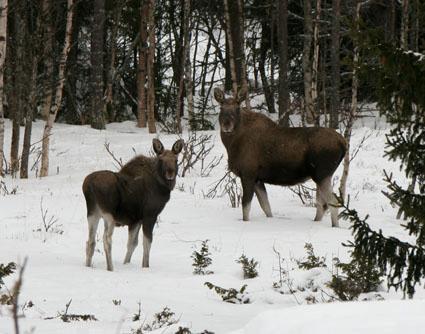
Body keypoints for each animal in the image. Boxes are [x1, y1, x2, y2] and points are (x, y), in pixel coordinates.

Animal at [82, 138, 183, 272]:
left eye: (176, 160)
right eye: (161, 160)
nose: (170, 173)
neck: (162, 186)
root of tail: (88, 186)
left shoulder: (136, 220)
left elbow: (132, 244)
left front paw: (126, 264)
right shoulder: (150, 215)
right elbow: (147, 242)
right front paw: (145, 266)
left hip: (93, 213)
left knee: (90, 241)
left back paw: (88, 266)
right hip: (109, 215)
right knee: (106, 240)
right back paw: (110, 268)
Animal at [214, 87, 346, 227]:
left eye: (237, 107)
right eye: (221, 107)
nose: (226, 124)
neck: (231, 145)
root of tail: (343, 143)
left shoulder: (248, 174)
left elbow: (246, 207)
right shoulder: (258, 179)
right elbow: (266, 207)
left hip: (322, 174)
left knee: (332, 202)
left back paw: (334, 226)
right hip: (321, 176)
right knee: (322, 204)